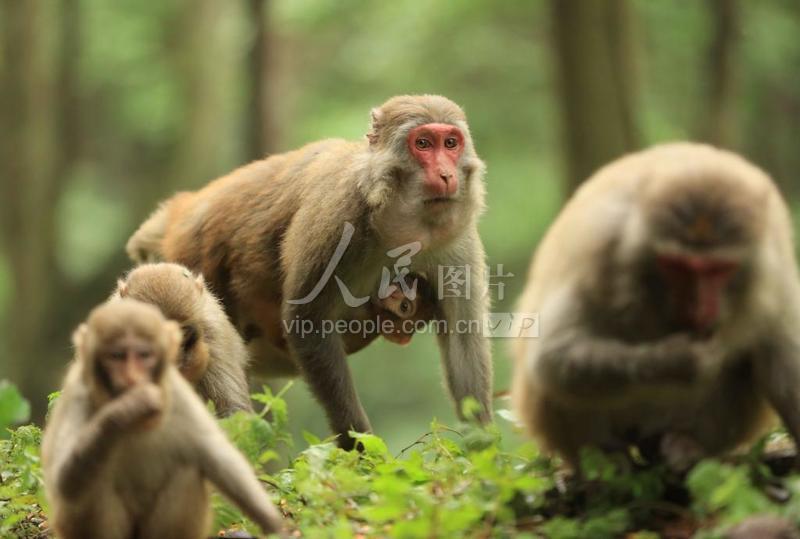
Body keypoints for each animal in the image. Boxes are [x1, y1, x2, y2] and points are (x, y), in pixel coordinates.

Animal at [127, 95, 490, 450]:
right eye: (423, 143)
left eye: (451, 143)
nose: (446, 174)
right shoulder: (337, 217)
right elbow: (308, 321)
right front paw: (359, 449)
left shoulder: (456, 240)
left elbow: (463, 340)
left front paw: (482, 447)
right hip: (188, 262)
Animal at [512, 143, 800, 472]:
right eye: (677, 267)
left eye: (718, 270)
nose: (698, 306)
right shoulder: (599, 245)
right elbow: (552, 358)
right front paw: (678, 360)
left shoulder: (775, 259)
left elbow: (783, 363)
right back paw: (605, 458)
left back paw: (685, 444)